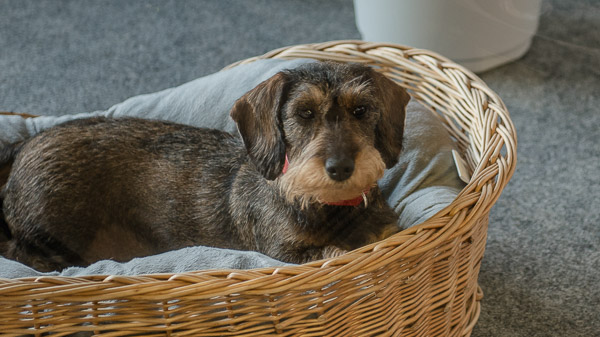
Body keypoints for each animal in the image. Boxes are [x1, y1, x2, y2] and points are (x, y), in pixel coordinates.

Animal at [0, 61, 410, 270]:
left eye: (361, 110)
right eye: (304, 113)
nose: (340, 167)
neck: (328, 206)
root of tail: (23, 146)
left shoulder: (387, 231)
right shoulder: (285, 254)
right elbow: (332, 253)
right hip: (51, 234)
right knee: (20, 253)